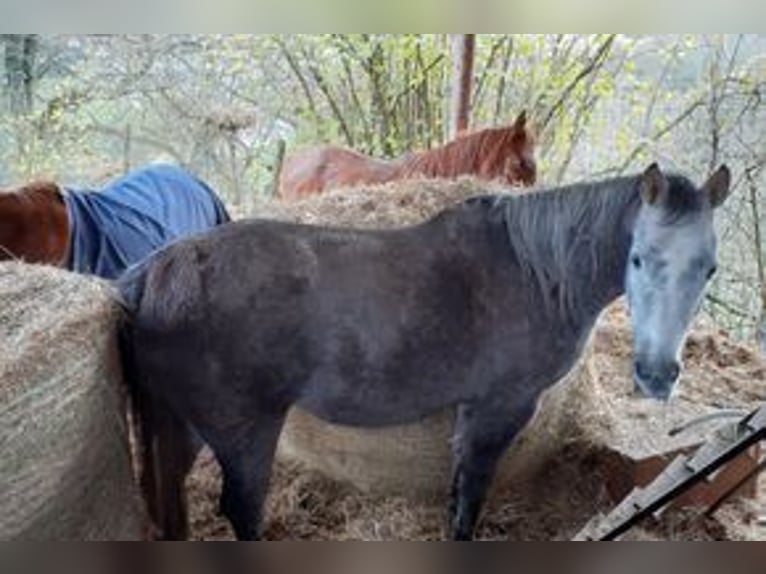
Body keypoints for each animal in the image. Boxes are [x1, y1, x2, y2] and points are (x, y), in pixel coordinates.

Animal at [117, 162, 731, 540]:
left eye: (709, 268)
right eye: (638, 258)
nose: (657, 375)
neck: (535, 273)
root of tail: (157, 270)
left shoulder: (472, 411)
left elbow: (458, 487)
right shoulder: (501, 407)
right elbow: (472, 494)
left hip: (181, 429)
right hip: (244, 432)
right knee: (242, 510)